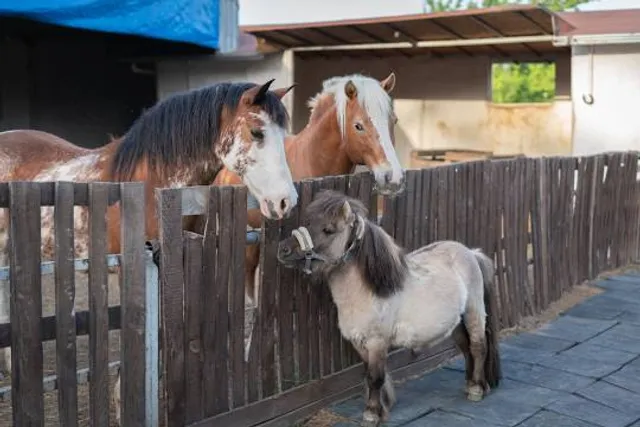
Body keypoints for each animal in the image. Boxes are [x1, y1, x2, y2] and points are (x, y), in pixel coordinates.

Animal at [276, 190, 502, 426]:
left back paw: (477, 389)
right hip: (455, 323)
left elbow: (375, 377)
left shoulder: (377, 342)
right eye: (309, 221)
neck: (370, 291)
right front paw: (383, 407)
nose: (283, 249)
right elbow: (370, 374)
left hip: (474, 313)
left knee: (478, 346)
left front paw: (372, 413)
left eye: (328, 229)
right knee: (466, 348)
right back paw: (470, 384)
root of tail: (471, 253)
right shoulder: (360, 342)